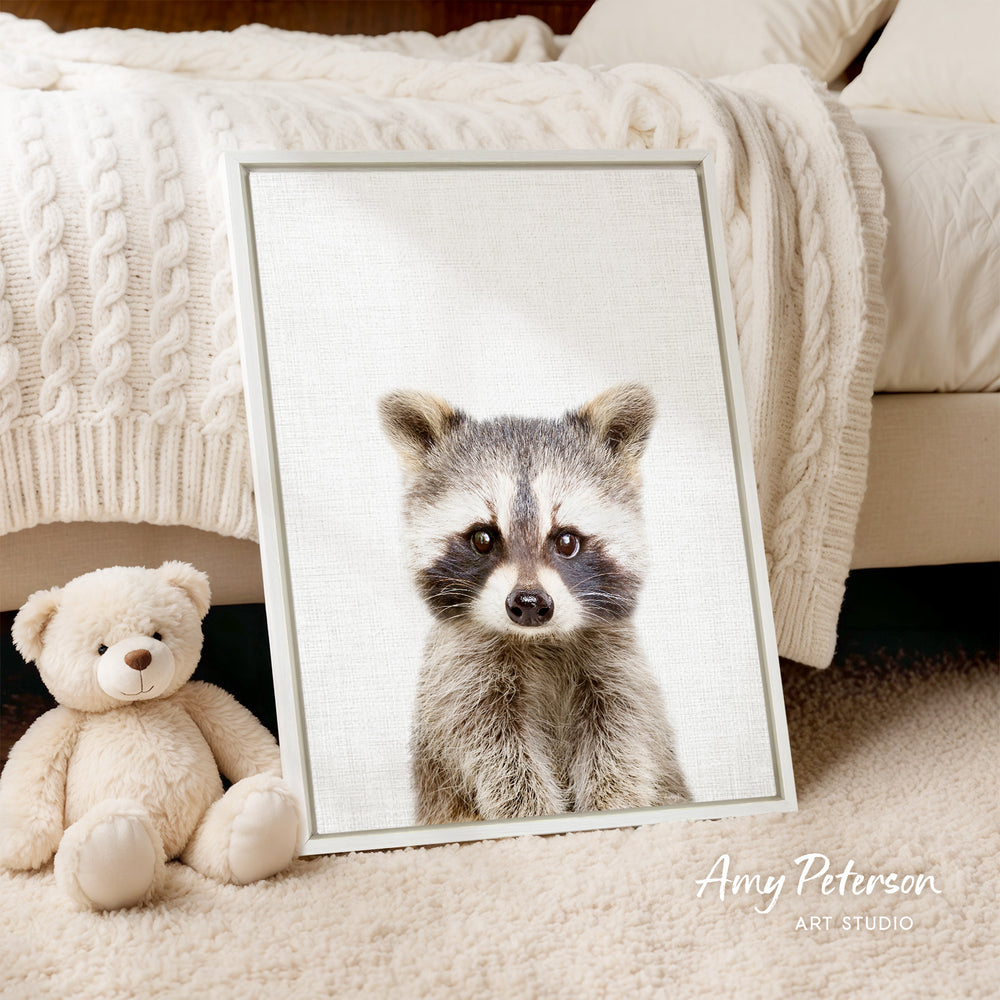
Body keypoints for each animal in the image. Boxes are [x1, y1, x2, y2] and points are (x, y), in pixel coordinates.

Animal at [379, 383, 691, 825]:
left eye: (566, 540)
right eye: (482, 538)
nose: (528, 603)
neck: (538, 640)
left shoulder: (619, 671)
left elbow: (622, 743)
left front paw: (614, 806)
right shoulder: (461, 680)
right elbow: (498, 757)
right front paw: (533, 812)